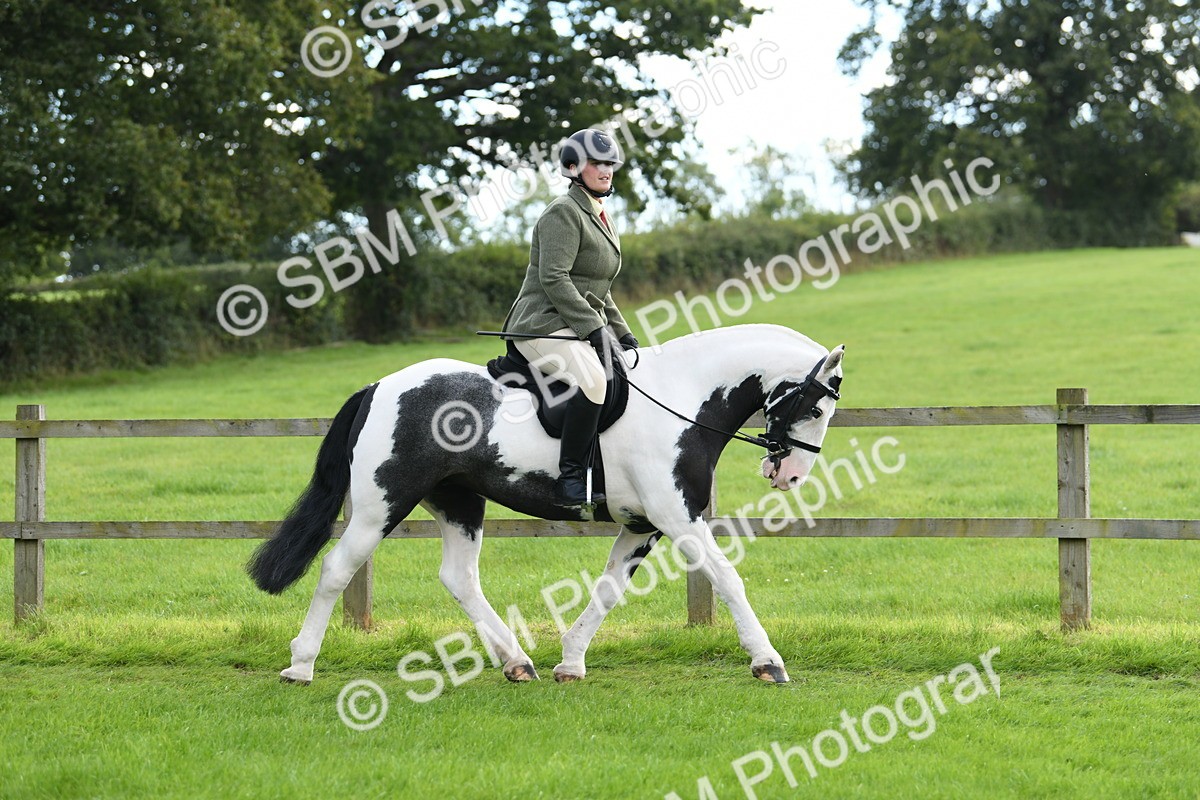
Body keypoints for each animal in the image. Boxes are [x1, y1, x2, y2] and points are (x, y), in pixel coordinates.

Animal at [248, 323, 844, 685]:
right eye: (817, 408)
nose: (788, 474)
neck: (683, 401)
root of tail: (379, 386)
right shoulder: (678, 518)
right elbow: (727, 578)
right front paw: (768, 662)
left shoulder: (642, 526)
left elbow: (608, 590)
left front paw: (572, 662)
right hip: (382, 505)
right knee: (336, 568)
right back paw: (300, 666)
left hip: (460, 502)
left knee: (459, 578)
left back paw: (517, 662)